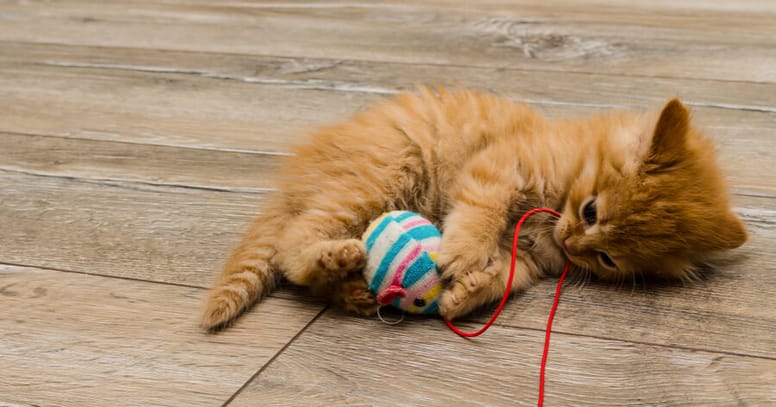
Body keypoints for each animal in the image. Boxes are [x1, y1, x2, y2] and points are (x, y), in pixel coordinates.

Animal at [200, 87, 744, 330]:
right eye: (591, 211)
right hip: (381, 177)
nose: (572, 242)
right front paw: (462, 253)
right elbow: (480, 214)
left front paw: (463, 295)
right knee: (292, 244)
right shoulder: (499, 168)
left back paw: (352, 290)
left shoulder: (528, 258)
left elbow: (503, 276)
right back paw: (337, 259)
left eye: (609, 259)